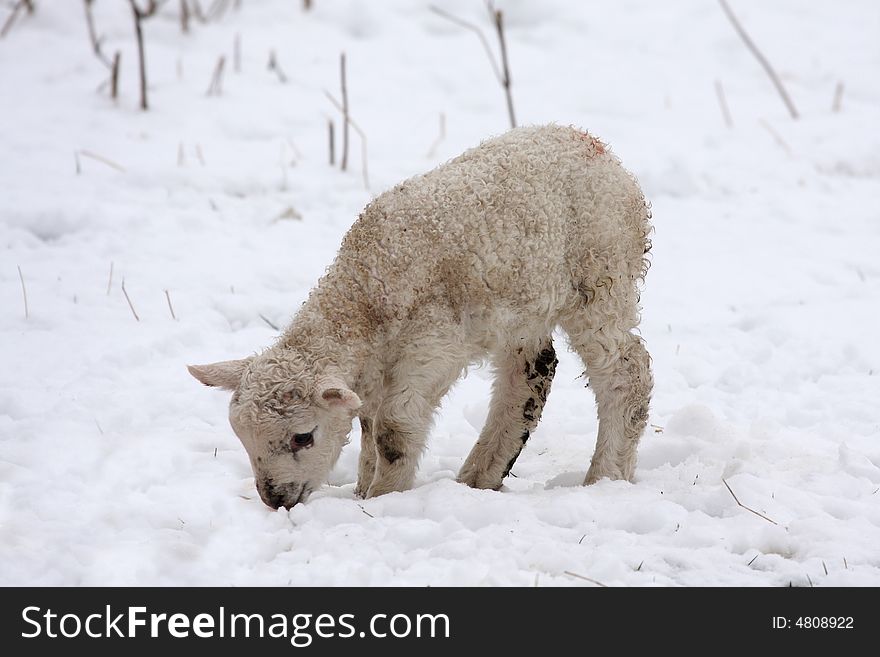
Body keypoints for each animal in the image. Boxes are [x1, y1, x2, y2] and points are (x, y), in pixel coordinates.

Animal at [187, 125, 652, 510]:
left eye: (304, 436)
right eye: (243, 438)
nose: (275, 499)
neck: (364, 292)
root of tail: (596, 147)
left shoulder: (430, 344)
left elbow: (391, 431)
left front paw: (383, 498)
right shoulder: (376, 367)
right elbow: (368, 427)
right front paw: (362, 489)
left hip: (601, 279)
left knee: (627, 373)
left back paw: (606, 475)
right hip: (523, 309)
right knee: (530, 376)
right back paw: (480, 476)